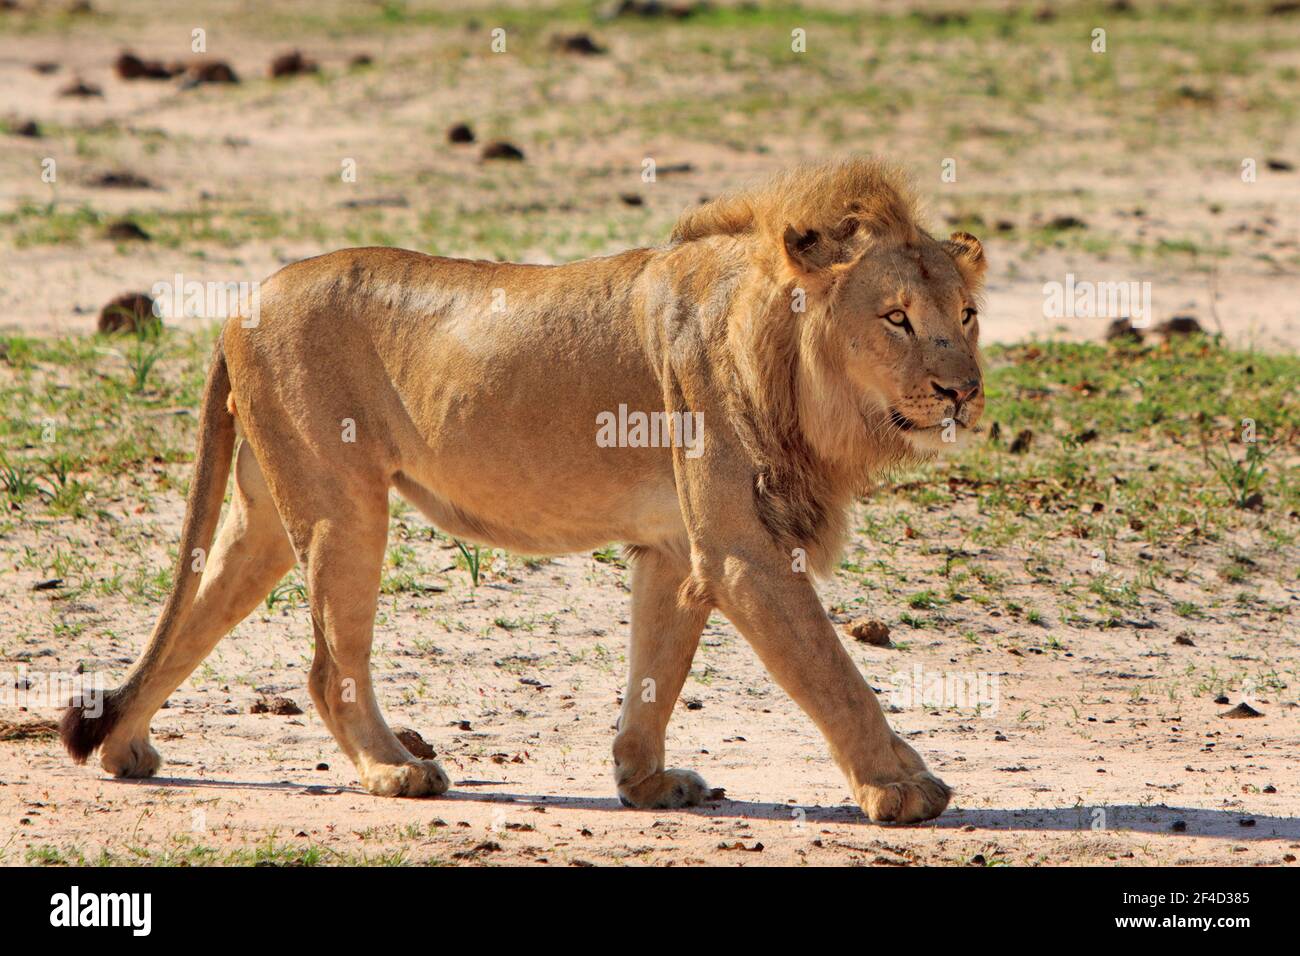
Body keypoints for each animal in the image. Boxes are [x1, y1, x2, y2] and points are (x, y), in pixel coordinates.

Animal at [55, 157, 977, 822]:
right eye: (896, 318)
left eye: (965, 315)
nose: (963, 390)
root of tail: (244, 301)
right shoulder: (743, 552)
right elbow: (833, 671)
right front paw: (902, 788)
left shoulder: (675, 547)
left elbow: (655, 671)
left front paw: (646, 783)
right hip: (343, 504)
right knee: (326, 663)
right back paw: (394, 771)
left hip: (268, 513)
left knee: (199, 612)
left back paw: (124, 750)